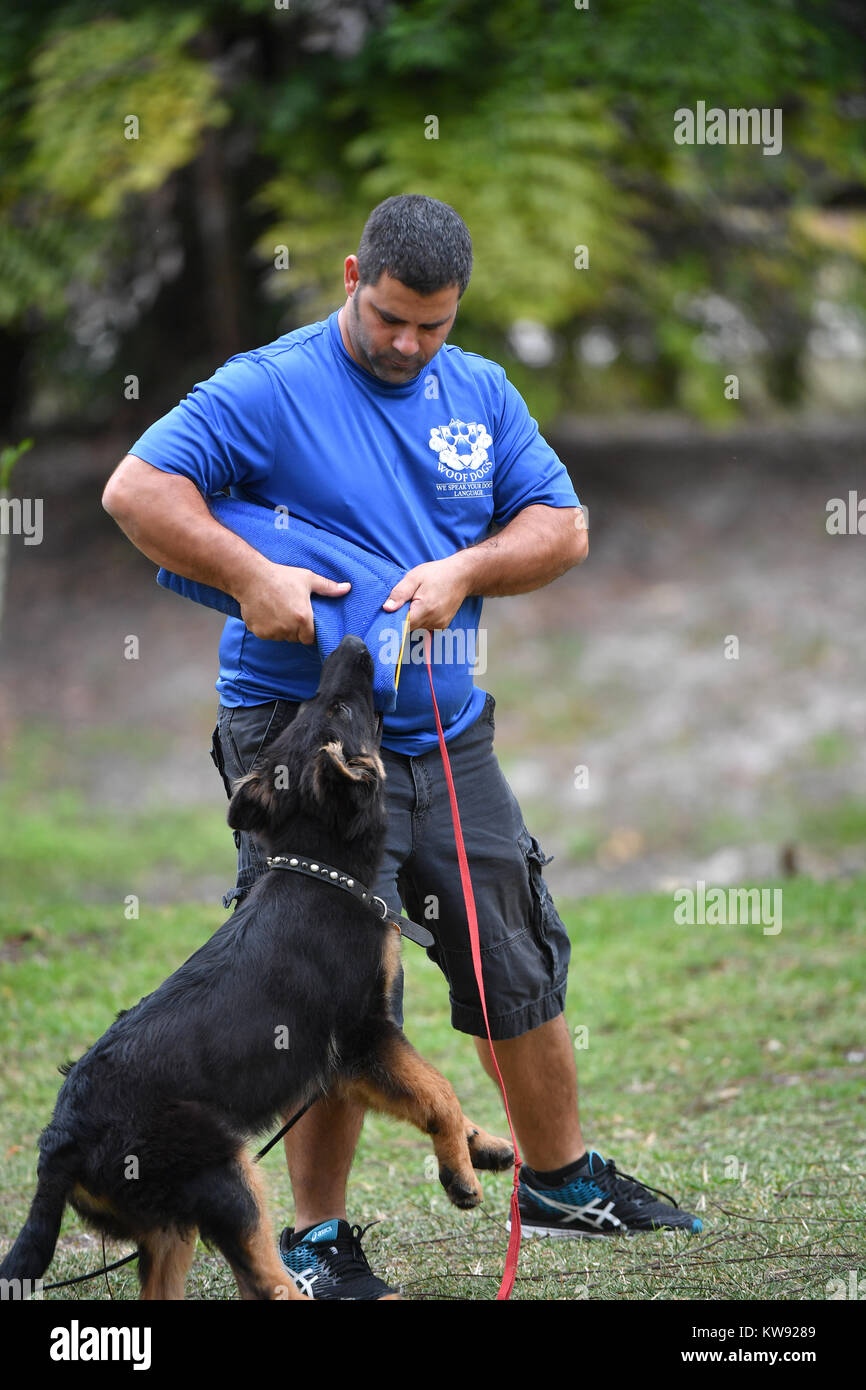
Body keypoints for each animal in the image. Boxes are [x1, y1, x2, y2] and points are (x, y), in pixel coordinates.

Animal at [0, 636, 514, 1295]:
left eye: (317, 709)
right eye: (340, 710)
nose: (351, 642)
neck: (320, 871)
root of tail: (58, 1144)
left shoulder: (344, 1068)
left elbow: (431, 1094)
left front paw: (484, 1147)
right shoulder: (363, 1039)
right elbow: (440, 1090)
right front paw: (460, 1175)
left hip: (171, 1226)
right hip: (228, 1181)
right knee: (269, 1282)